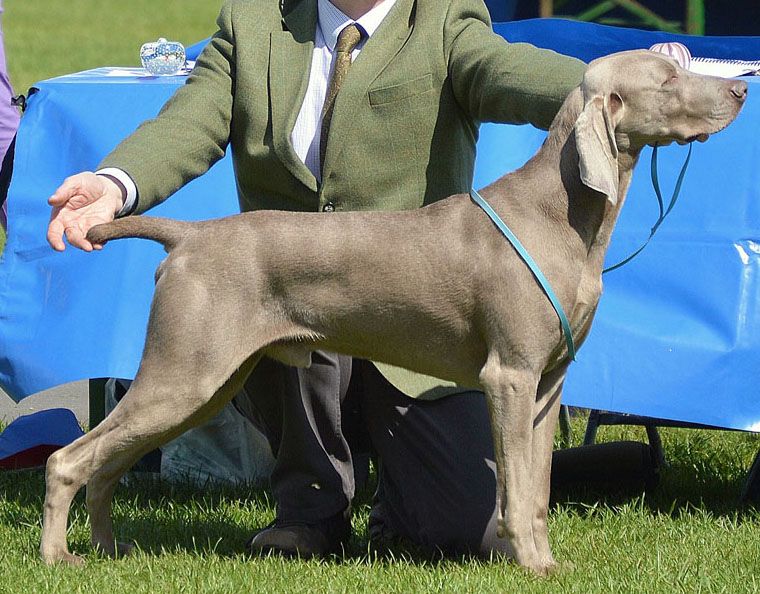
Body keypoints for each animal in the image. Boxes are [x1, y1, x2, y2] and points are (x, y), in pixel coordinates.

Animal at [38, 52, 744, 572]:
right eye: (669, 78)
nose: (739, 89)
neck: (563, 217)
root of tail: (190, 234)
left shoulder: (548, 384)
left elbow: (540, 489)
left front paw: (547, 562)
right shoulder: (509, 377)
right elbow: (515, 489)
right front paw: (530, 566)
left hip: (204, 382)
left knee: (106, 465)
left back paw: (106, 550)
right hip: (184, 372)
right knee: (67, 460)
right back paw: (57, 558)